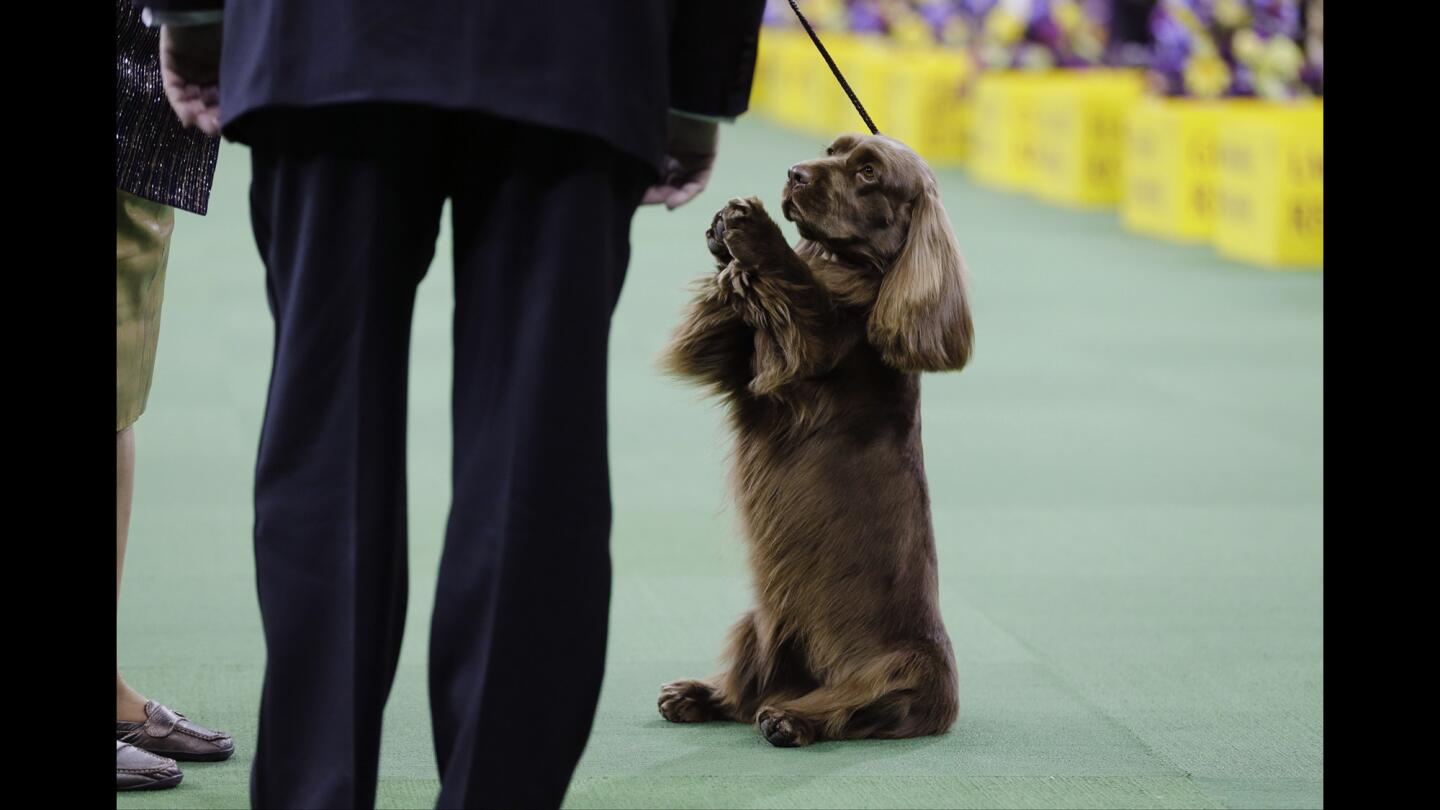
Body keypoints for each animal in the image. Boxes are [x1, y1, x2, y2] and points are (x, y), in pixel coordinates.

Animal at [659, 132, 973, 743]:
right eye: (832, 150)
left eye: (869, 172)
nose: (795, 173)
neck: (850, 269)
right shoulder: (739, 369)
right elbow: (718, 331)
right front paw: (723, 237)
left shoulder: (813, 347)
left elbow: (804, 299)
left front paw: (755, 234)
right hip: (759, 623)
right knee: (746, 691)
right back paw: (696, 695)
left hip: (902, 665)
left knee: (847, 704)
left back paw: (791, 718)